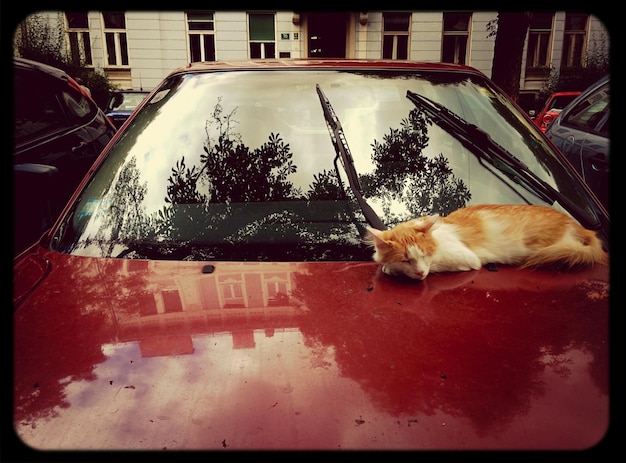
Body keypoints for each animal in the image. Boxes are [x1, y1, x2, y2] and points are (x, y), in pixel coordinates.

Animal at [366, 205, 604, 280]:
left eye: (425, 255)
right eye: (406, 260)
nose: (420, 273)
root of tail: (581, 227)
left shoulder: (465, 257)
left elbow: (437, 264)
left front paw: (389, 269)